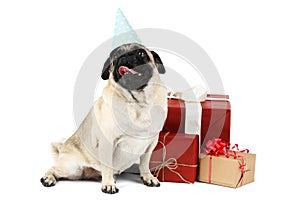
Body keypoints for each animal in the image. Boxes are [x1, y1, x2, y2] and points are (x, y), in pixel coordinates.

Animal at [40, 43, 168, 194]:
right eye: (115, 56)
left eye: (141, 53)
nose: (124, 56)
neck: (138, 103)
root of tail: (62, 150)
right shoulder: (108, 143)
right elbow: (107, 166)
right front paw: (108, 184)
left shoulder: (150, 145)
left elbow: (145, 163)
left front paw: (148, 177)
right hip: (71, 168)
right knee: (54, 169)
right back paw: (48, 178)